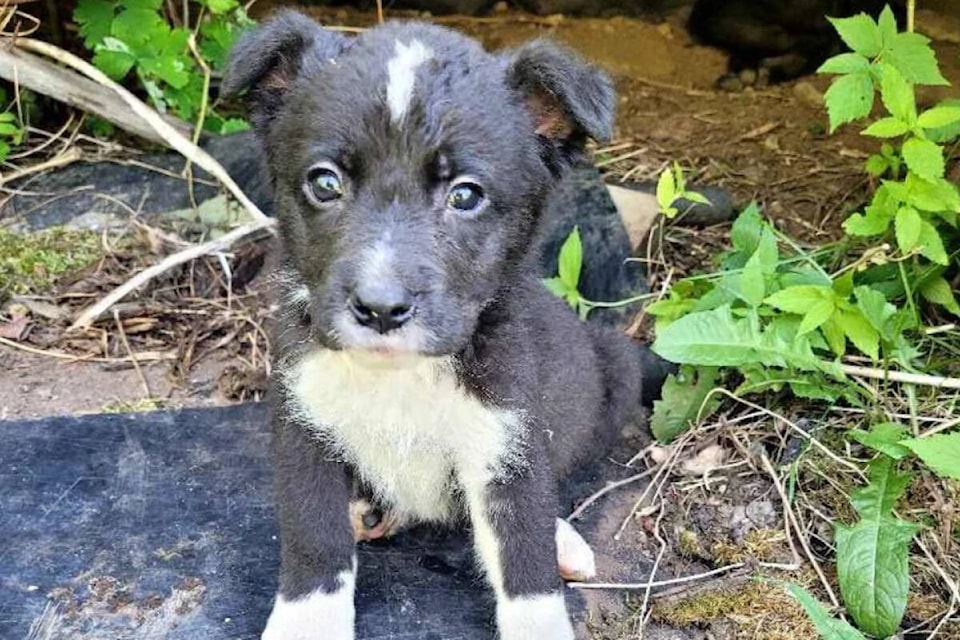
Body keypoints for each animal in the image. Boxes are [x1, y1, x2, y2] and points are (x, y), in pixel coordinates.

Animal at [224, 11, 672, 640]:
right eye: (325, 182)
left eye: (465, 195)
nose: (380, 308)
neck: (399, 376)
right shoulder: (303, 423)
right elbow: (313, 539)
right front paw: (306, 623)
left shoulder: (505, 439)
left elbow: (526, 558)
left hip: (612, 371)